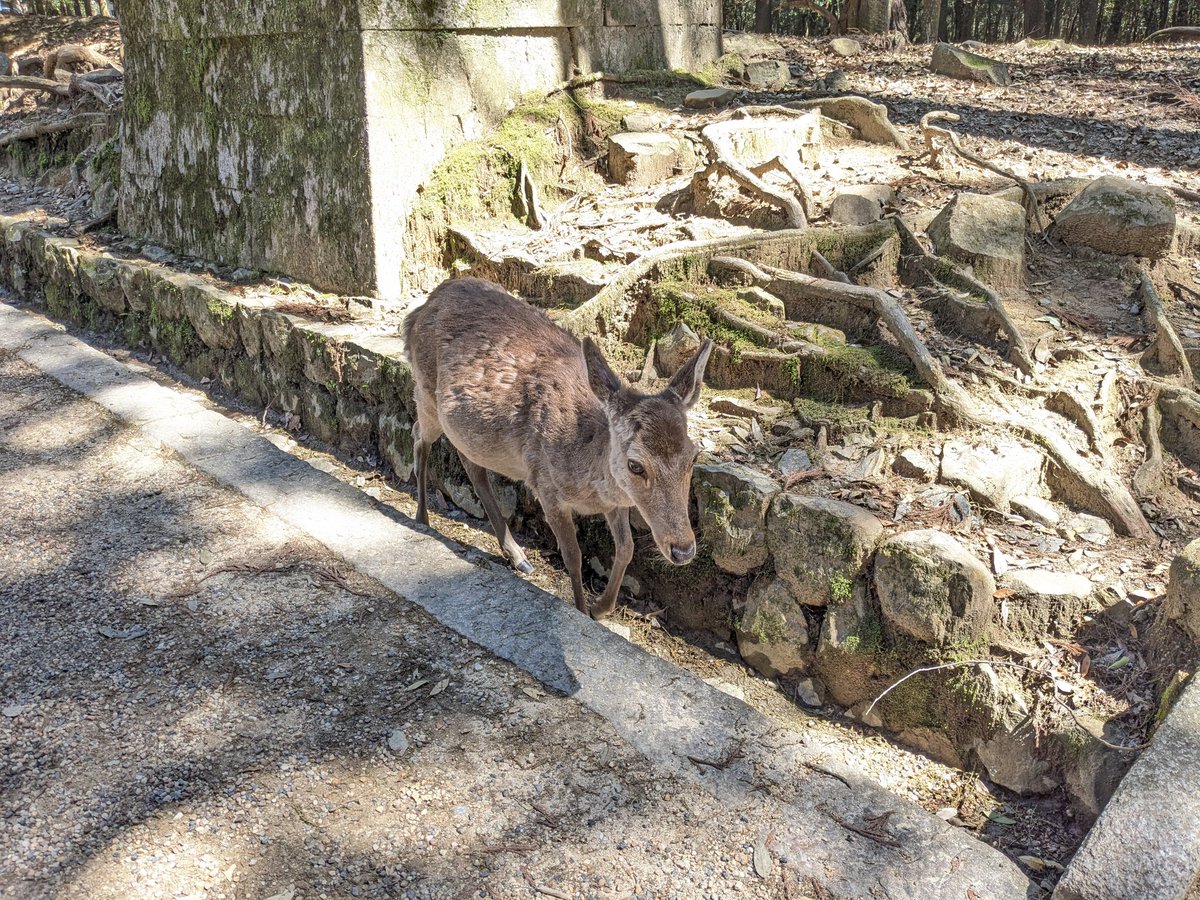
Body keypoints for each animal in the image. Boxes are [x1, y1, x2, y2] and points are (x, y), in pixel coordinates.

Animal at [403, 277, 713, 619]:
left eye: (693, 457)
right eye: (636, 464)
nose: (683, 549)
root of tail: (418, 311)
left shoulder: (616, 499)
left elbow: (627, 548)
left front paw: (601, 607)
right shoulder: (546, 486)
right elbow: (573, 556)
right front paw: (581, 610)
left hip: (466, 431)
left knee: (470, 463)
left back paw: (517, 555)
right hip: (426, 393)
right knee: (418, 437)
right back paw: (422, 518)